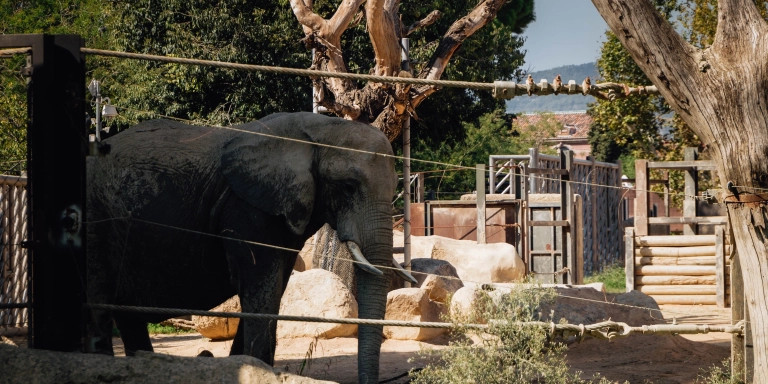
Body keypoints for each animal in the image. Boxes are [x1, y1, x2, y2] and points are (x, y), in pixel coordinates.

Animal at [84, 112, 414, 384]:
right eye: (347, 186)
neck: (319, 130)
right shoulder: (247, 208)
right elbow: (260, 287)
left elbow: (272, 288)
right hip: (96, 218)